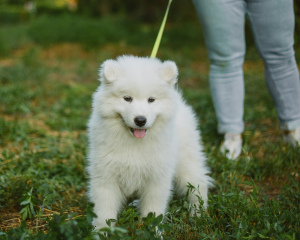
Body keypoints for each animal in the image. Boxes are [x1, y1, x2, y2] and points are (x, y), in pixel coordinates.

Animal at [86, 55, 213, 230]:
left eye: (151, 100)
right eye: (127, 98)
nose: (140, 120)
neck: (134, 143)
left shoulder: (157, 177)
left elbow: (153, 210)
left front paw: (153, 231)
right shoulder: (105, 175)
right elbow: (104, 210)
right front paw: (102, 231)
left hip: (187, 162)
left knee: (199, 183)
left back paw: (198, 214)